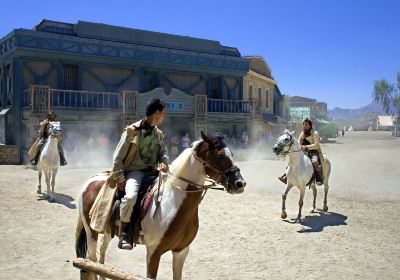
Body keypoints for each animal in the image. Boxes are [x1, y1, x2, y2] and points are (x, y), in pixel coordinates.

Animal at [73, 132, 245, 280]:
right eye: (220, 155)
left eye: (232, 154)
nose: (240, 183)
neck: (174, 202)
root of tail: (91, 180)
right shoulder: (153, 252)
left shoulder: (181, 251)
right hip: (91, 231)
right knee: (91, 260)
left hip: (107, 230)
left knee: (101, 255)